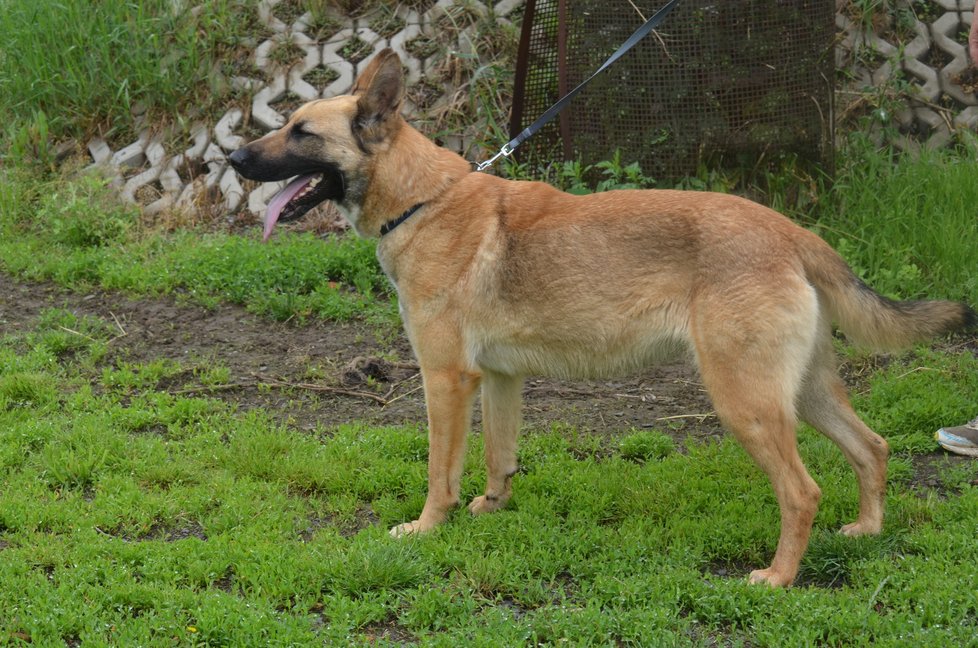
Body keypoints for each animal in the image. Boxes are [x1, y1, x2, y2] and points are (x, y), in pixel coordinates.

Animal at [231, 49, 976, 588]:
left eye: (301, 132)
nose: (233, 159)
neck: (424, 200)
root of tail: (790, 232)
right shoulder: (498, 381)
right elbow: (499, 458)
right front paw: (491, 511)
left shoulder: (445, 381)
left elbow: (441, 472)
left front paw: (426, 529)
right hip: (804, 392)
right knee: (872, 448)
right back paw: (868, 531)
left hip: (747, 405)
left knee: (803, 492)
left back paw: (778, 577)